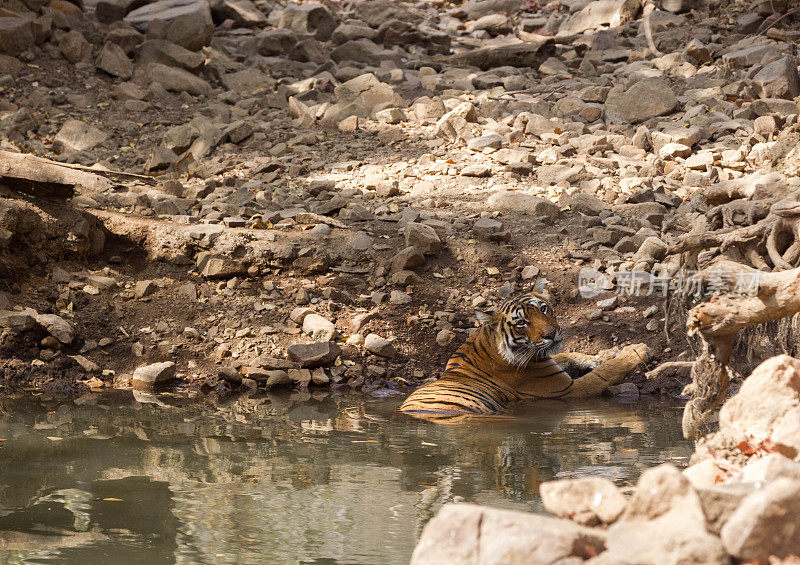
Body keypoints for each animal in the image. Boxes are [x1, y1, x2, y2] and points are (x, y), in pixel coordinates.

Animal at [398, 294, 648, 420]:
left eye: (543, 309)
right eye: (521, 323)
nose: (551, 334)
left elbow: (566, 354)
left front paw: (605, 354)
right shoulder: (568, 389)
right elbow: (605, 373)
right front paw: (636, 349)